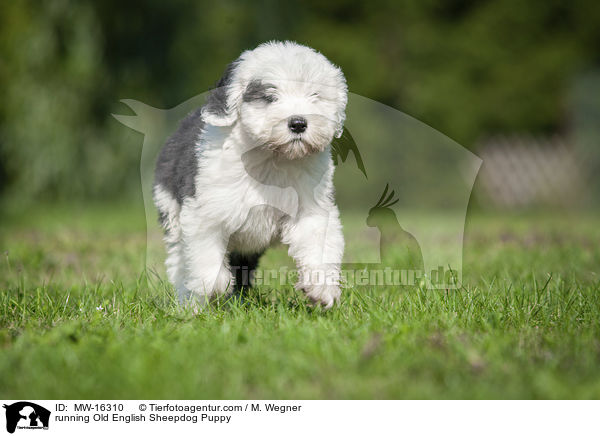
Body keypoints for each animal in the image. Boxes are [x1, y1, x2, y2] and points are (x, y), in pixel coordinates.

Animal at [154, 40, 346, 306]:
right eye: (269, 97)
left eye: (315, 96)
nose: (298, 123)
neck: (272, 160)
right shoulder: (205, 211)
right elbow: (207, 260)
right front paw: (216, 288)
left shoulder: (311, 207)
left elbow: (318, 242)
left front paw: (321, 288)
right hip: (171, 211)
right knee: (179, 262)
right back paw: (190, 305)